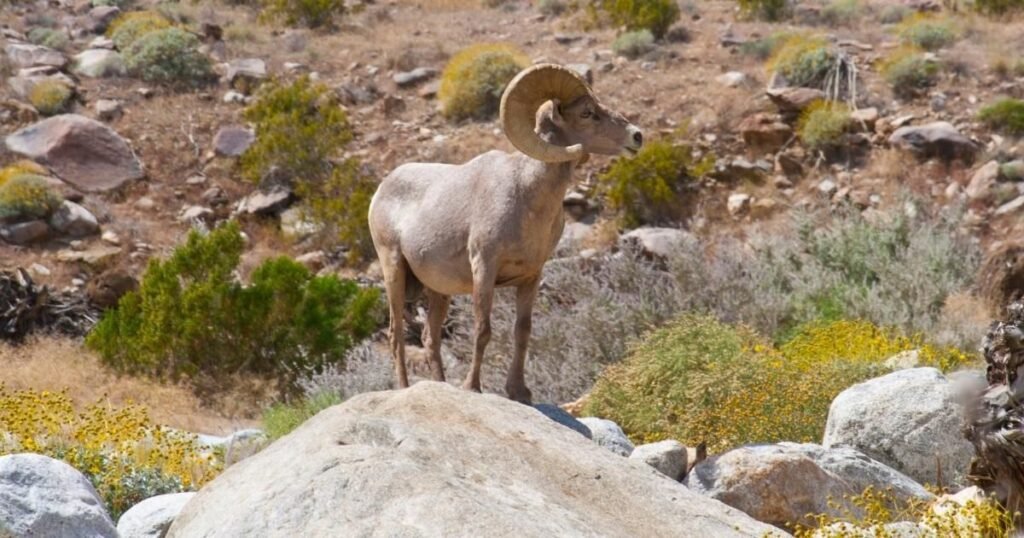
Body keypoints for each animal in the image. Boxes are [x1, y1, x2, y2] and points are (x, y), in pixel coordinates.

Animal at [368, 64, 643, 403]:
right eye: (587, 112)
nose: (637, 136)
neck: (526, 196)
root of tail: (382, 189)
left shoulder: (531, 277)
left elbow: (522, 331)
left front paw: (519, 392)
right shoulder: (484, 268)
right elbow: (483, 330)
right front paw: (472, 387)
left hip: (437, 291)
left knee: (430, 339)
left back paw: (440, 386)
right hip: (393, 271)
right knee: (396, 335)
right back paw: (405, 389)